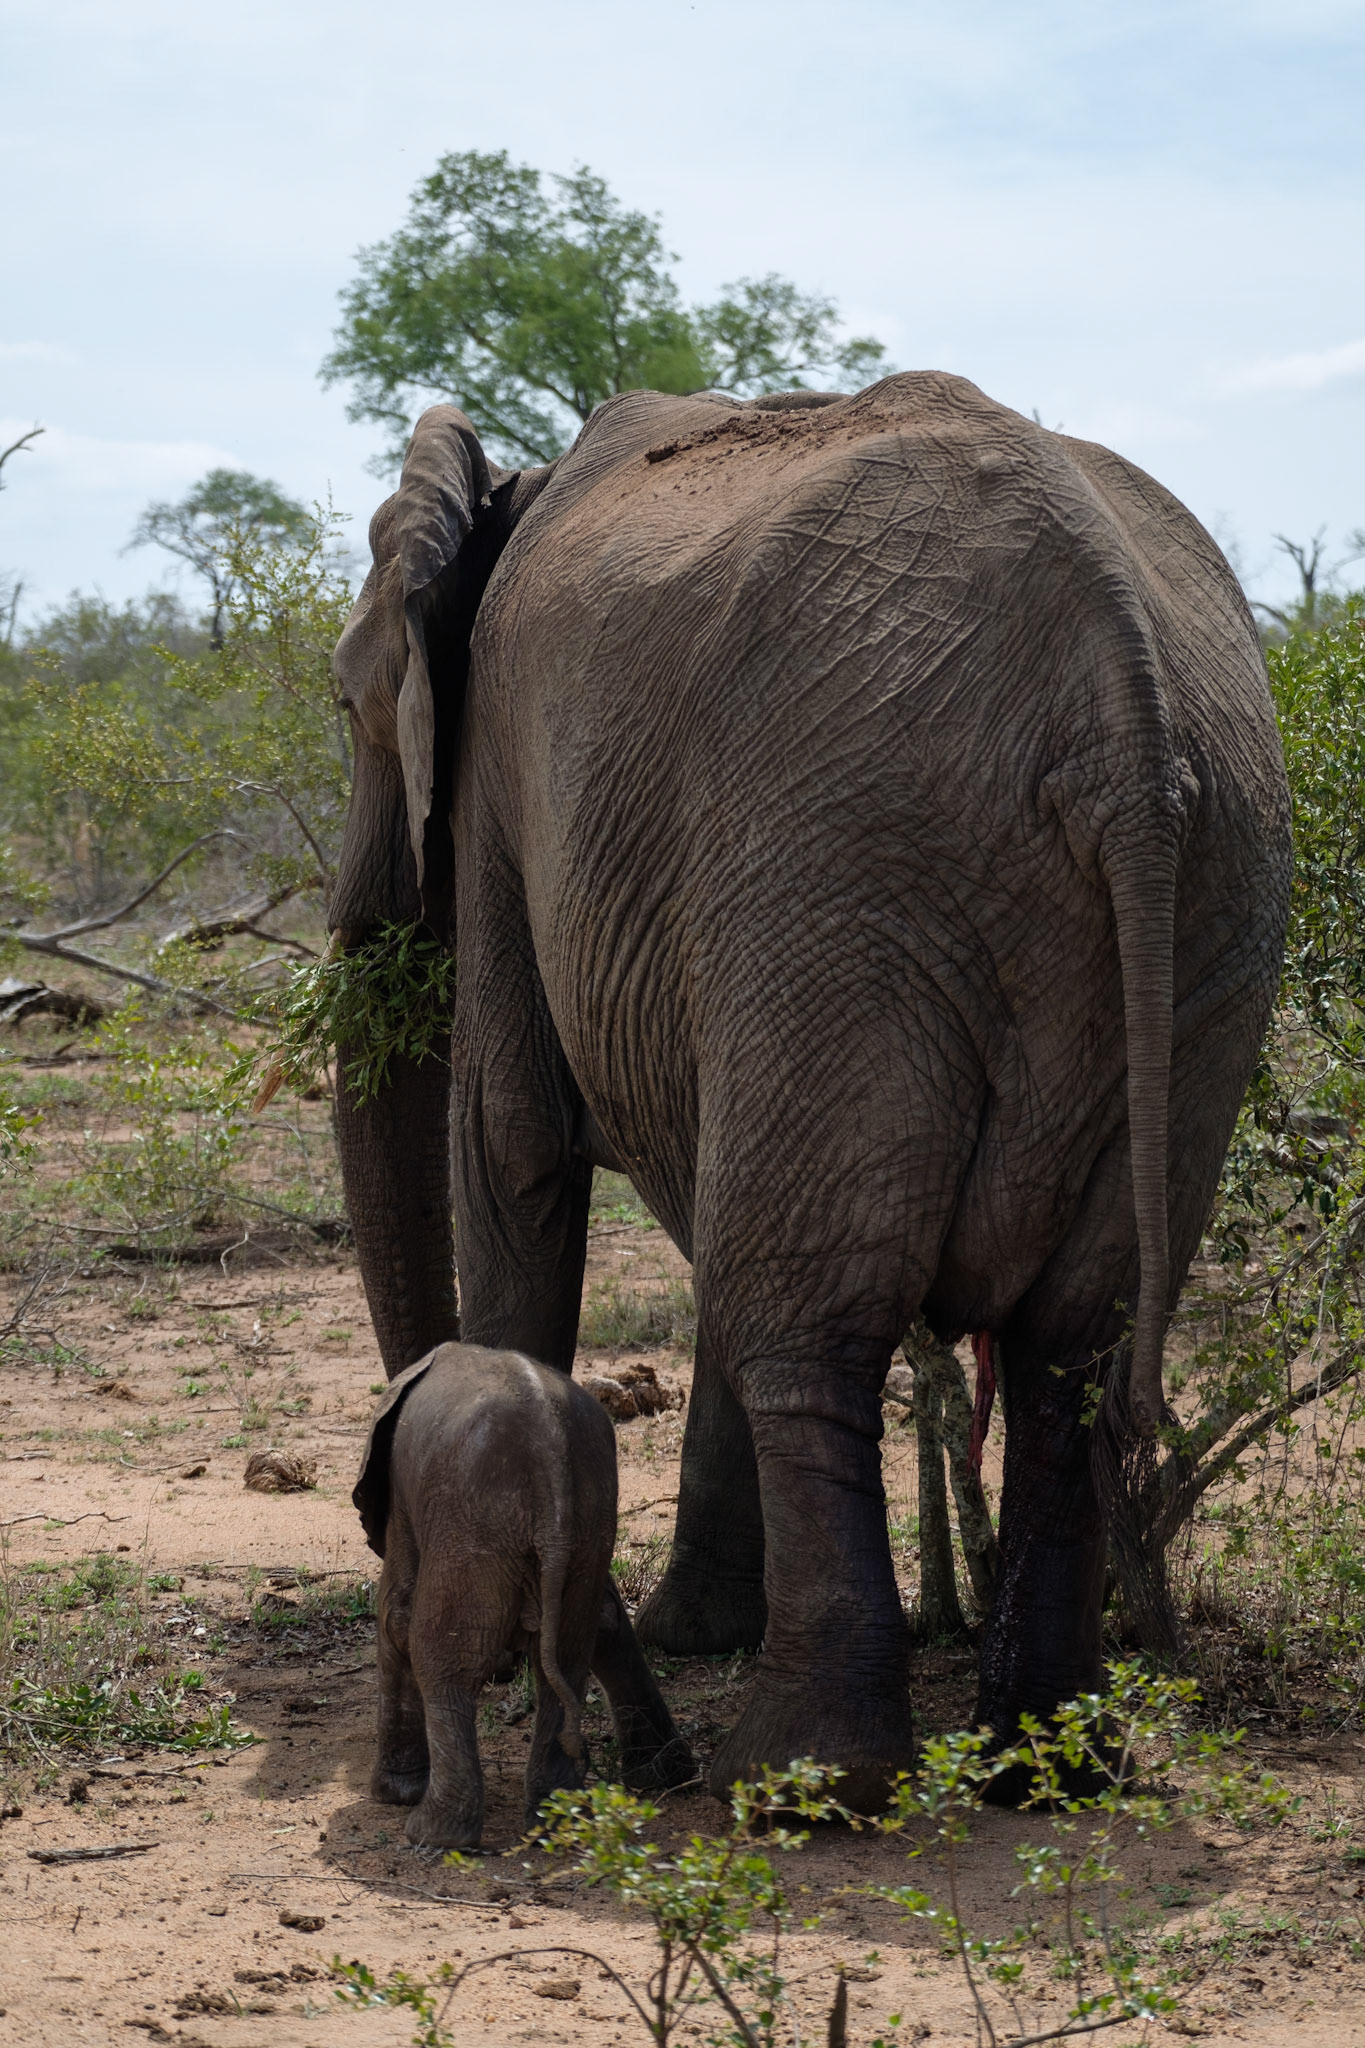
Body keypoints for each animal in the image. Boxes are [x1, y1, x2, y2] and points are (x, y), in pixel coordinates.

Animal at [354, 1340, 694, 1845]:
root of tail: (551, 1471)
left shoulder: (405, 1500)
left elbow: (396, 1617)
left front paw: (392, 1796)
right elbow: (607, 1618)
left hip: (471, 1528)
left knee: (443, 1660)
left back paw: (430, 1835)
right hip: (581, 1527)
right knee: (566, 1660)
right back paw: (559, 1822)